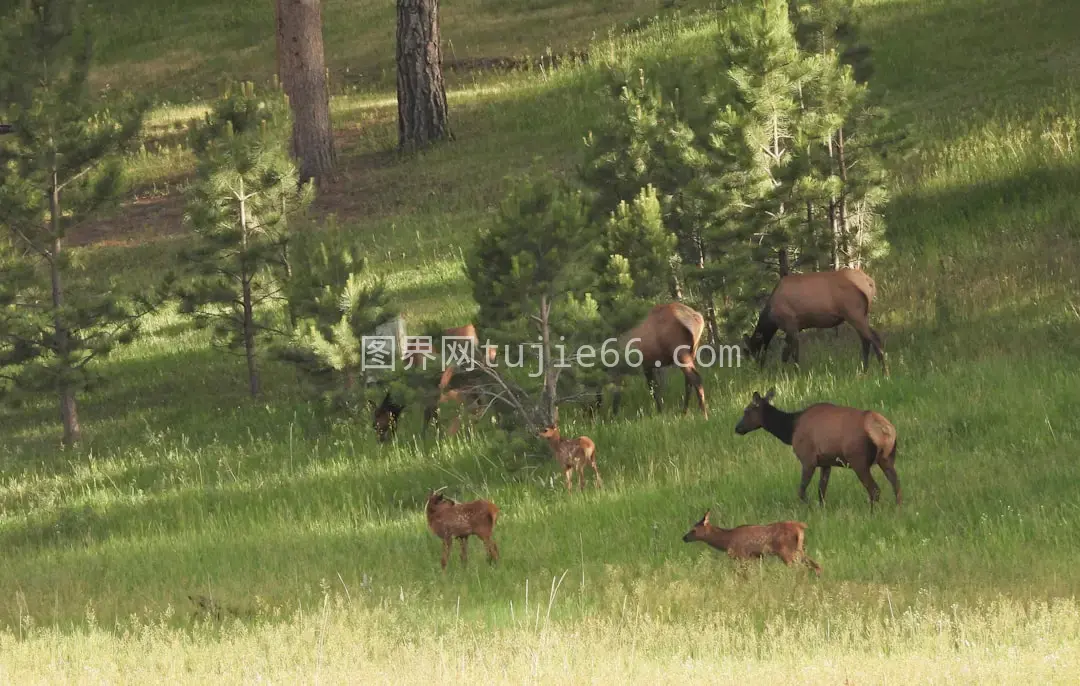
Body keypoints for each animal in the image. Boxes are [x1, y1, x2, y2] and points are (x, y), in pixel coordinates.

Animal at [678, 509, 820, 574]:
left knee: (799, 568)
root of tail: (801, 526)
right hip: (799, 550)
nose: (684, 538)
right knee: (816, 565)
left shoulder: (742, 555)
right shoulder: (754, 557)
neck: (726, 541)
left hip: (786, 551)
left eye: (694, 530)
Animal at [734, 386, 902, 509]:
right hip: (887, 458)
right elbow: (821, 491)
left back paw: (873, 513)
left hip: (858, 459)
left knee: (875, 489)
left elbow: (802, 491)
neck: (790, 430)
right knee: (896, 484)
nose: (737, 428)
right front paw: (822, 509)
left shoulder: (808, 459)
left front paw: (809, 507)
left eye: (746, 411)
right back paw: (898, 509)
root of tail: (886, 430)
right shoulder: (826, 462)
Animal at [743, 267, 885, 375]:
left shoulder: (790, 324)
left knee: (875, 338)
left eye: (753, 350)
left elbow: (790, 353)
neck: (771, 319)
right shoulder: (795, 327)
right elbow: (789, 352)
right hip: (862, 314)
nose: (758, 369)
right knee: (866, 341)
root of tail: (870, 282)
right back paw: (864, 371)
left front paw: (793, 373)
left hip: (854, 313)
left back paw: (884, 372)